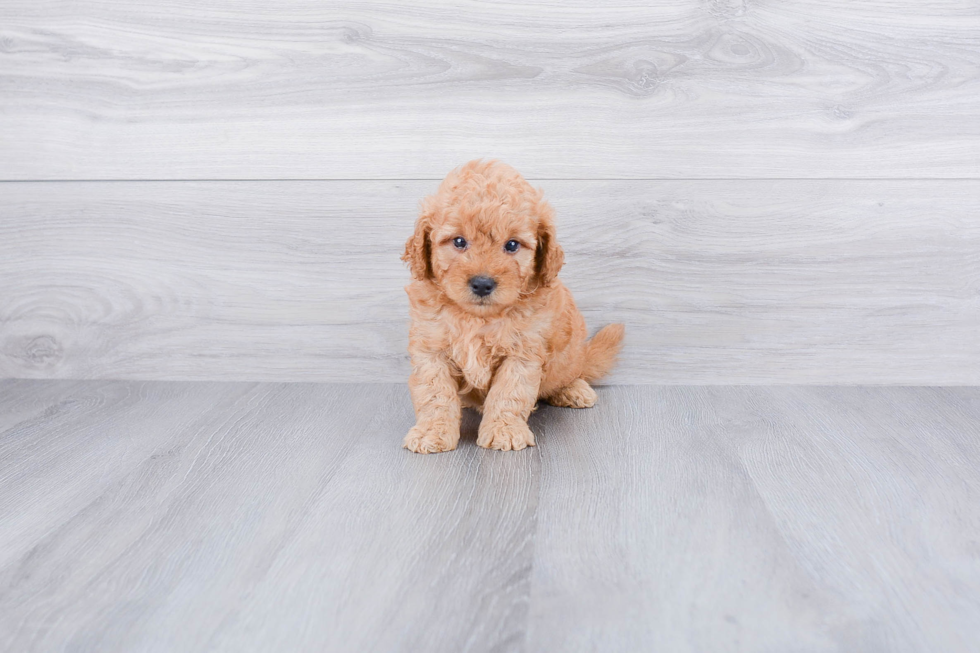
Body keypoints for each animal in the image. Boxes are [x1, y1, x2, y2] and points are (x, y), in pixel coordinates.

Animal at [402, 159, 624, 454]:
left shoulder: (523, 352)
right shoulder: (431, 348)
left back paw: (573, 389)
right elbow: (435, 393)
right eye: (459, 241)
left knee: (572, 372)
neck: (478, 318)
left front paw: (503, 431)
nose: (482, 283)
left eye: (512, 245)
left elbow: (509, 393)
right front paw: (431, 431)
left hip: (569, 354)